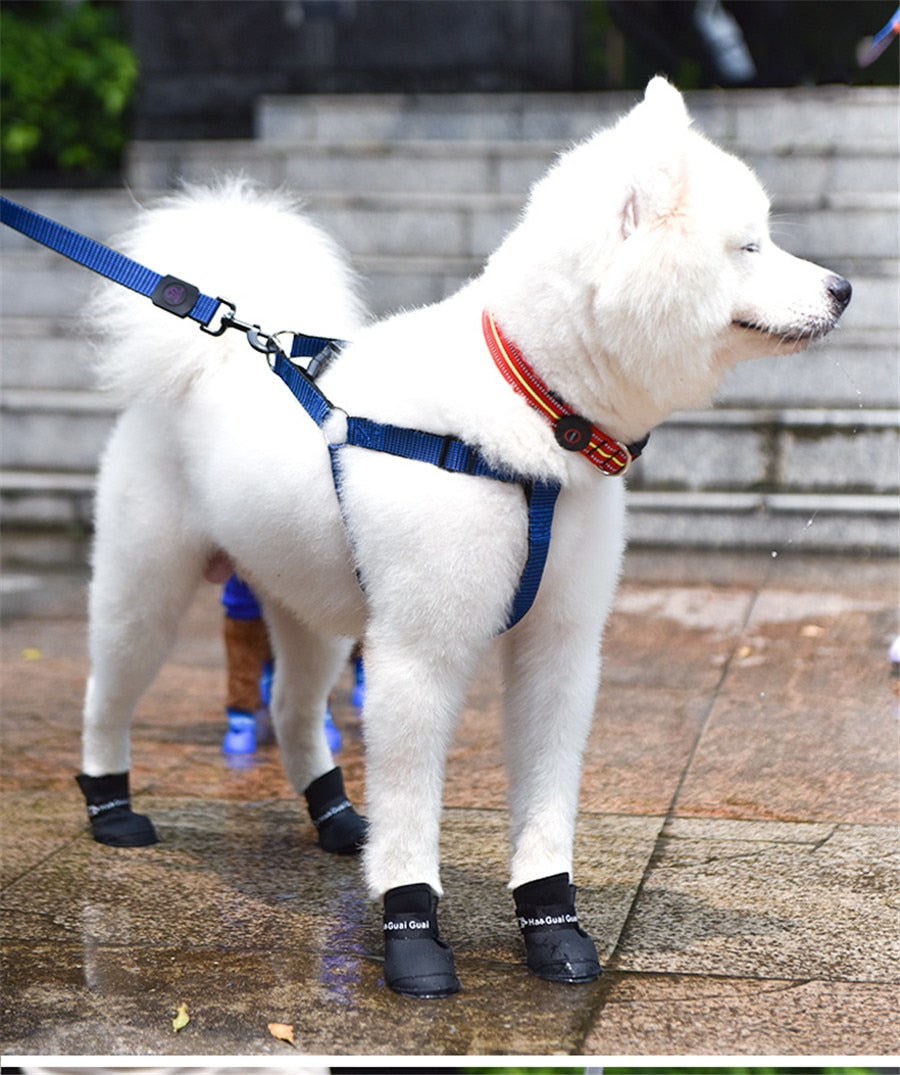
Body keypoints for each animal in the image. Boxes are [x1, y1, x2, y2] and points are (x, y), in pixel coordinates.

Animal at [73, 81, 847, 997]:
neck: (537, 408)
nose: (844, 287)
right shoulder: (418, 652)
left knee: (291, 705)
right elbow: (415, 810)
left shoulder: (559, 646)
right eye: (750, 245)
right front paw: (411, 932)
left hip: (311, 602)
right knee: (108, 693)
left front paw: (553, 925)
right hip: (146, 590)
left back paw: (337, 816)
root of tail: (217, 352)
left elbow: (547, 804)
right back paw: (112, 805)